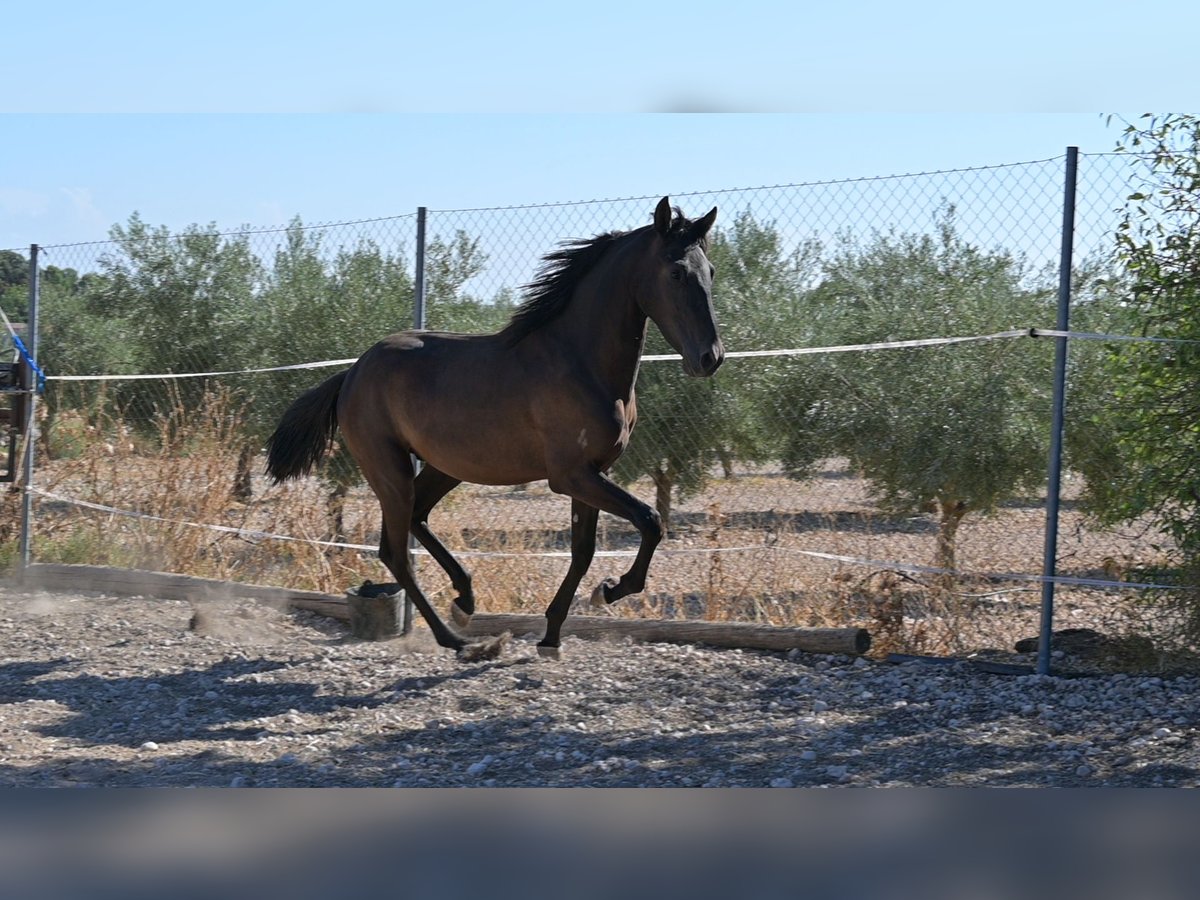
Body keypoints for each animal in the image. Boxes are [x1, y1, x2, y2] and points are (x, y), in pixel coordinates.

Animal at [267, 199, 720, 662]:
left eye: (711, 270)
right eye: (676, 272)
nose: (710, 357)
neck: (580, 360)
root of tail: (352, 373)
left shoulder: (594, 472)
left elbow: (584, 551)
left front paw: (552, 635)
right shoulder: (570, 475)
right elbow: (650, 521)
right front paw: (610, 591)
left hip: (445, 466)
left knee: (417, 519)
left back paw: (465, 601)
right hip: (388, 469)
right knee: (395, 553)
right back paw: (459, 640)